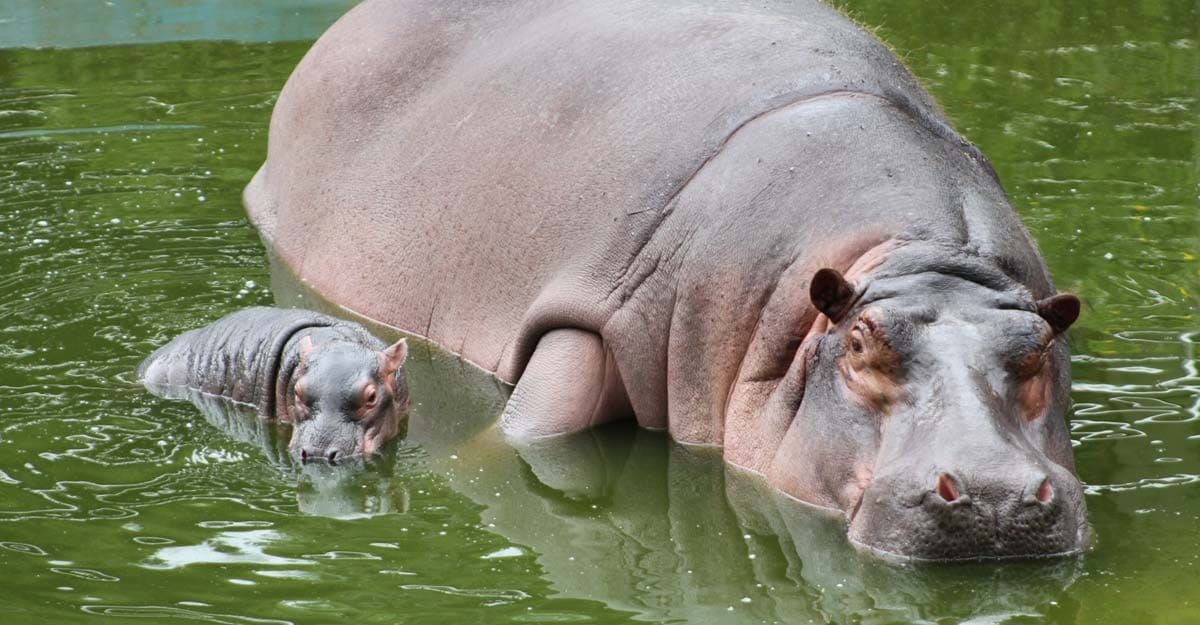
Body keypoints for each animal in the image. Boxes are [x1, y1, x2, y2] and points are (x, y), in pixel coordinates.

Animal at [244, 0, 1087, 559]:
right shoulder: (598, 313)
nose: (993, 494)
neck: (910, 257)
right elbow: (516, 434)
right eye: (859, 344)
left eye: (1038, 345)